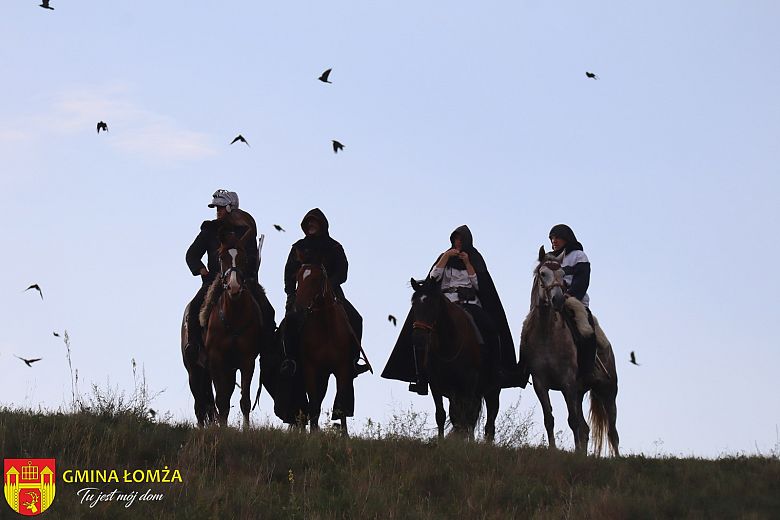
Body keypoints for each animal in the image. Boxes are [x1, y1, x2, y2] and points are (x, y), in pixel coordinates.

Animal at [201, 234, 266, 428]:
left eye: (244, 258)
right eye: (221, 257)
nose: (234, 286)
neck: (234, 316)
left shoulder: (247, 360)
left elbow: (245, 400)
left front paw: (246, 429)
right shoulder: (216, 360)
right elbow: (221, 400)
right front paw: (222, 429)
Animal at [292, 252, 360, 434]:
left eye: (317, 279)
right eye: (298, 278)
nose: (298, 307)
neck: (326, 328)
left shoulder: (342, 369)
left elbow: (341, 404)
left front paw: (345, 435)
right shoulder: (310, 368)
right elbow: (314, 403)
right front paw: (313, 434)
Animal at [408, 278, 500, 440]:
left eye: (433, 305)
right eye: (414, 305)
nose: (418, 338)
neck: (449, 344)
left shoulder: (469, 382)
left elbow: (469, 417)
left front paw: (470, 443)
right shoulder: (436, 384)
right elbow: (442, 415)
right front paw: (442, 441)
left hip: (491, 390)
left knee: (489, 422)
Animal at [520, 248, 620, 456]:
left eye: (562, 274)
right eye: (543, 274)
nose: (558, 299)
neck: (546, 335)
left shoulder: (567, 383)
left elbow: (573, 422)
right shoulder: (541, 384)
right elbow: (549, 419)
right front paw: (553, 449)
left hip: (608, 391)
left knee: (612, 432)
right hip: (580, 392)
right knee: (586, 428)